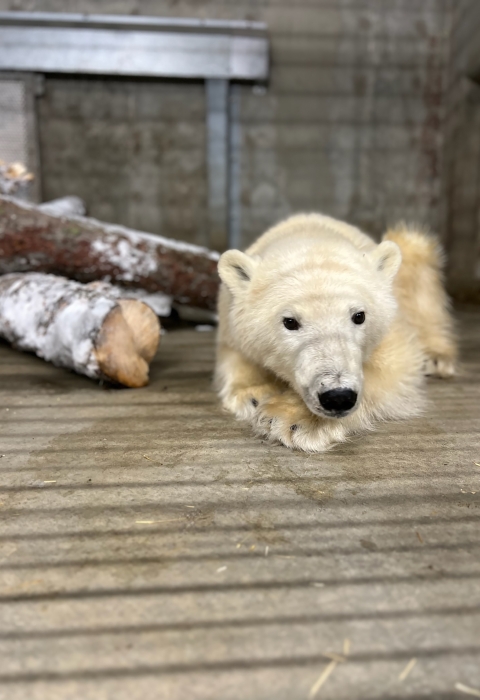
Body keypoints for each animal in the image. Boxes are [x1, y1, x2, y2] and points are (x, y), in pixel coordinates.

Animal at [215, 213, 457, 453]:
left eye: (359, 316)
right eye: (290, 322)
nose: (338, 397)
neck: (310, 232)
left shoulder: (392, 325)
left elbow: (394, 367)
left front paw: (291, 418)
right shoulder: (230, 318)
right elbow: (237, 352)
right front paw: (254, 394)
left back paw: (436, 357)